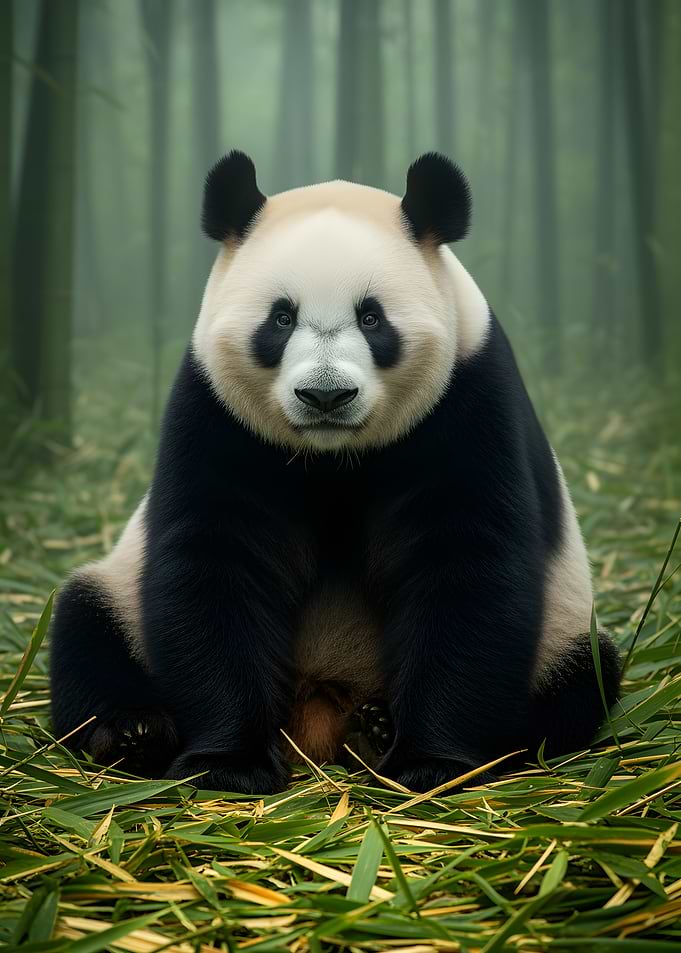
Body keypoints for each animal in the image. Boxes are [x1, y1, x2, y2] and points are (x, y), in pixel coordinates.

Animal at [49, 151, 621, 794]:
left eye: (372, 318)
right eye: (280, 319)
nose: (326, 395)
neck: (332, 456)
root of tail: (321, 710)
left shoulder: (467, 400)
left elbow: (466, 565)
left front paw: (432, 763)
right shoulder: (216, 415)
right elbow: (214, 559)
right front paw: (228, 764)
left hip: (564, 628)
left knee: (585, 677)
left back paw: (380, 730)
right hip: (118, 591)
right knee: (85, 624)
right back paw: (132, 732)